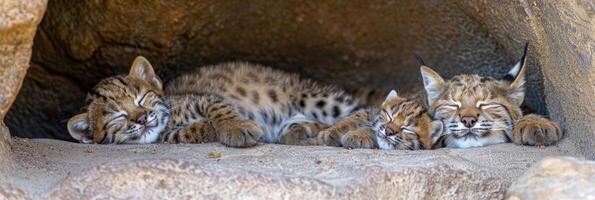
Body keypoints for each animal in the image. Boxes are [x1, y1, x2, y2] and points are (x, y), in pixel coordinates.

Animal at [67, 56, 360, 147]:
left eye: (141, 99)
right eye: (118, 116)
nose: (141, 119)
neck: (169, 118)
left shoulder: (206, 98)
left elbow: (221, 110)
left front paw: (237, 127)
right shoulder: (170, 135)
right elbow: (189, 132)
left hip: (312, 97)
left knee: (361, 110)